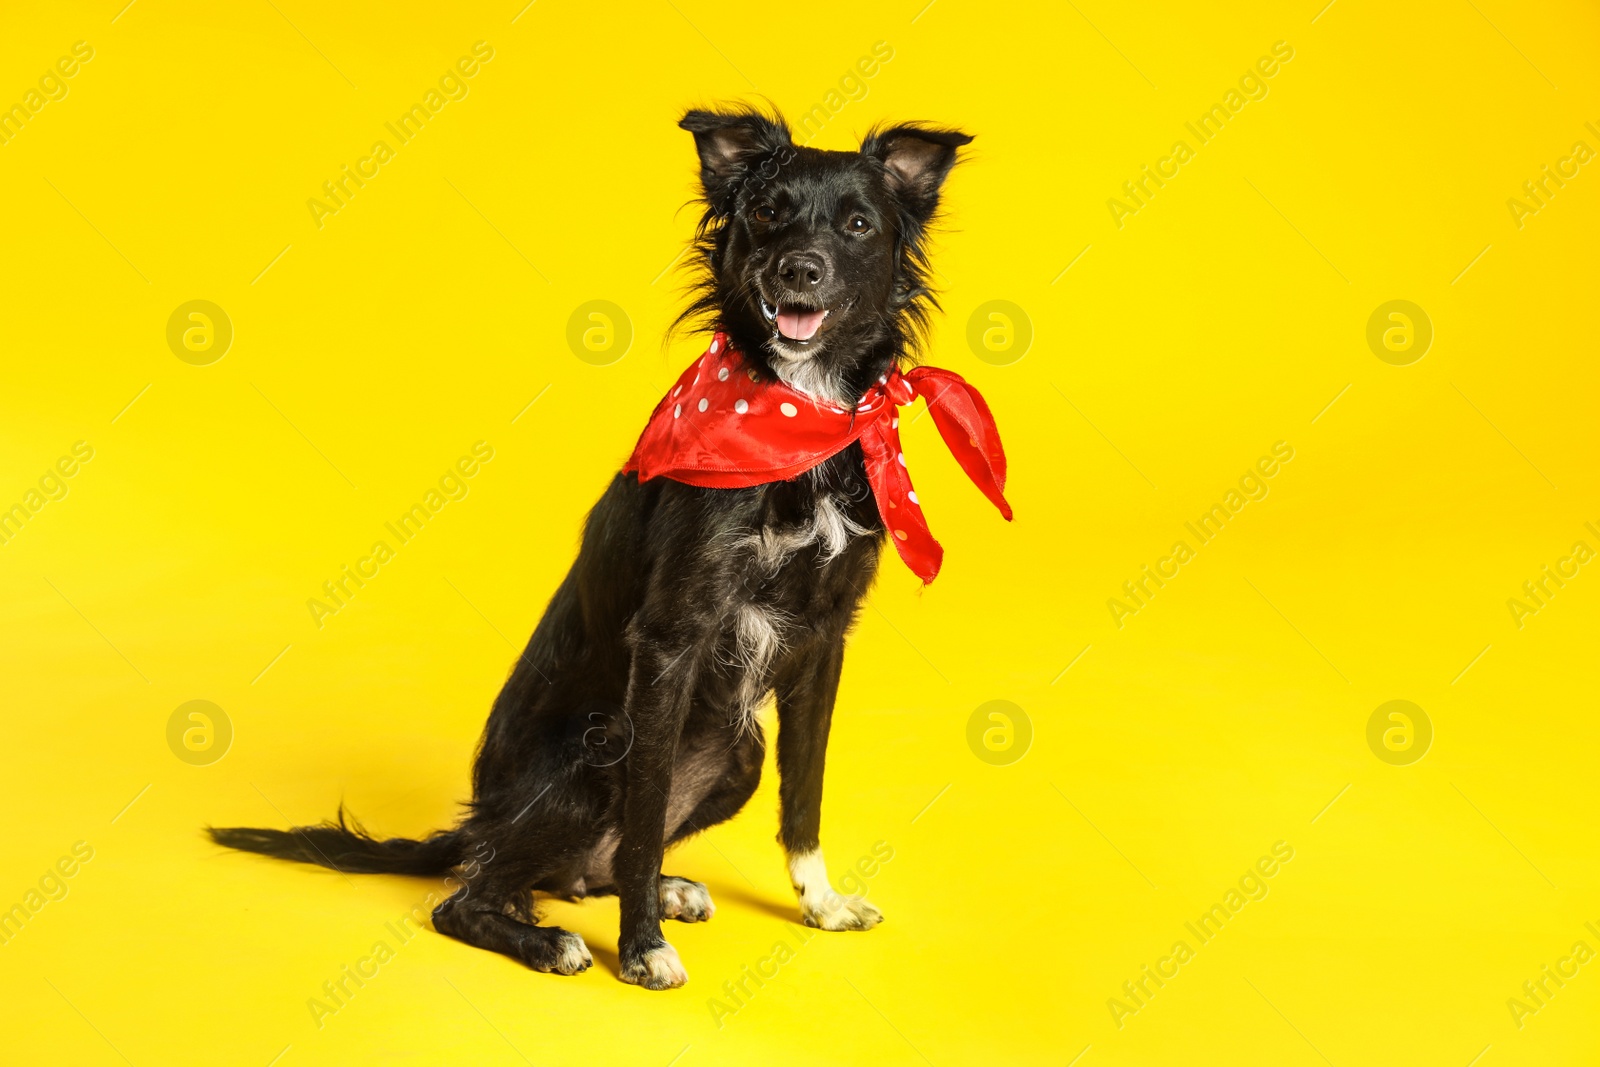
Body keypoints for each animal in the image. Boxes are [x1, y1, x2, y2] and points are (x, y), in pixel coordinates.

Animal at [209, 108, 985, 991]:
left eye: (858, 225)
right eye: (766, 212)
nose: (800, 267)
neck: (795, 420)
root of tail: (483, 822)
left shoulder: (824, 638)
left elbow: (805, 792)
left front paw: (818, 903)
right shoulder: (672, 638)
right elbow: (645, 814)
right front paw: (642, 945)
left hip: (737, 755)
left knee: (582, 871)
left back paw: (660, 889)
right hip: (592, 756)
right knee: (471, 895)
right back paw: (550, 937)